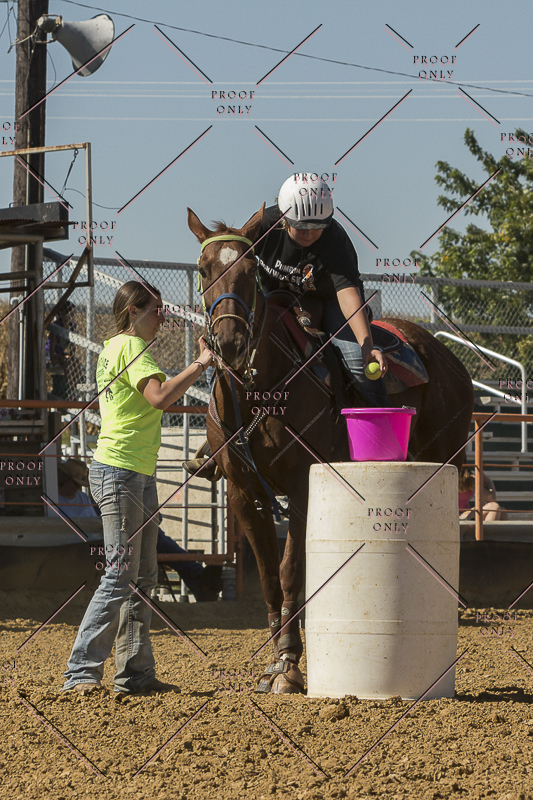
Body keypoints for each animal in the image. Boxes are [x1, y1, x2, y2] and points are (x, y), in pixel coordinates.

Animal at [187, 204, 474, 694]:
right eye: (205, 269)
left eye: (248, 271)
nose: (229, 343)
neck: (260, 388)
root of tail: (447, 358)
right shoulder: (245, 495)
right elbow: (268, 577)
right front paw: (275, 663)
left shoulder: (303, 488)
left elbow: (290, 573)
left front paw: (289, 666)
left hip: (447, 459)